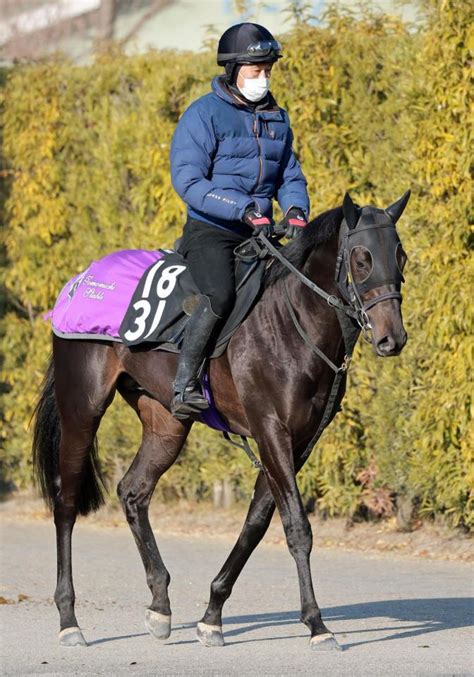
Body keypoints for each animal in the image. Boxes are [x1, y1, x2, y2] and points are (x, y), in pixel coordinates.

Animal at [31, 189, 410, 648]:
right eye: (361, 257)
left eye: (400, 255)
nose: (392, 338)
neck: (289, 321)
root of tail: (78, 283)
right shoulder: (271, 431)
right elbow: (297, 527)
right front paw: (317, 625)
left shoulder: (298, 442)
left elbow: (257, 523)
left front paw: (212, 615)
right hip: (82, 409)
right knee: (66, 502)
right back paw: (69, 619)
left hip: (166, 423)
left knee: (133, 492)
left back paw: (160, 606)